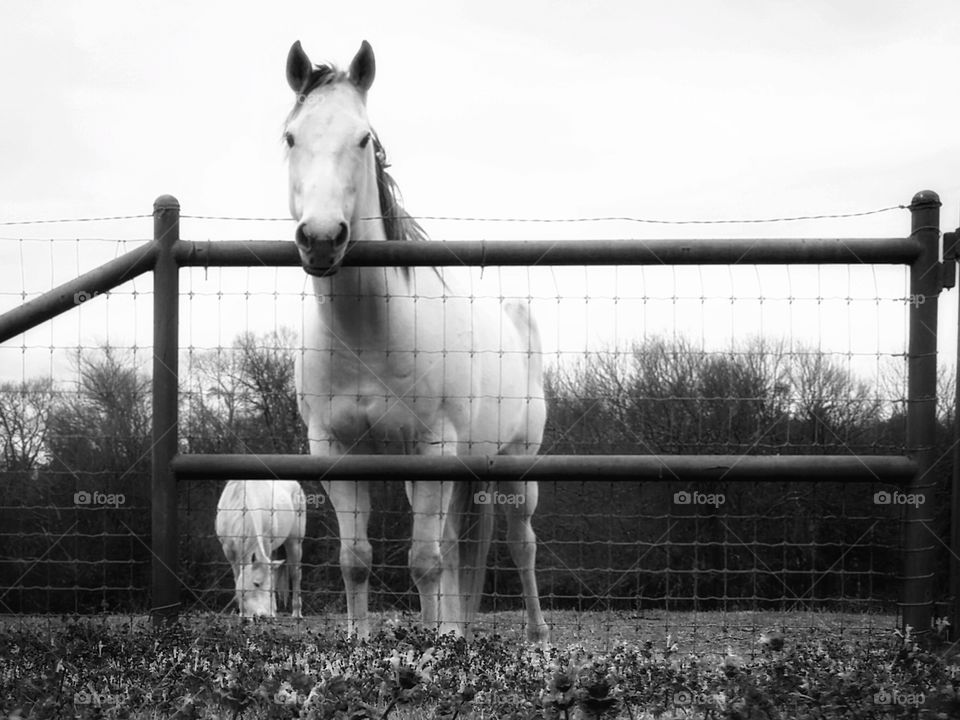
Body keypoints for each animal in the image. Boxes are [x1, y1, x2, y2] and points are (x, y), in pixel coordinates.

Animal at [216, 480, 306, 616]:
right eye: (256, 584)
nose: (264, 615)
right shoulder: (229, 552)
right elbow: (238, 578)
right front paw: (243, 613)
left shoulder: (265, 545)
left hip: (294, 543)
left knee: (295, 574)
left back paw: (296, 613)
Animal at [282, 39, 548, 640]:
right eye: (290, 137)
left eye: (364, 138)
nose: (322, 239)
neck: (369, 334)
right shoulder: (337, 451)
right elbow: (357, 560)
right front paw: (363, 643)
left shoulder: (433, 447)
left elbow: (423, 561)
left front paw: (428, 650)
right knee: (454, 546)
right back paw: (455, 631)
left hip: (516, 465)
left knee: (521, 544)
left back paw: (535, 637)